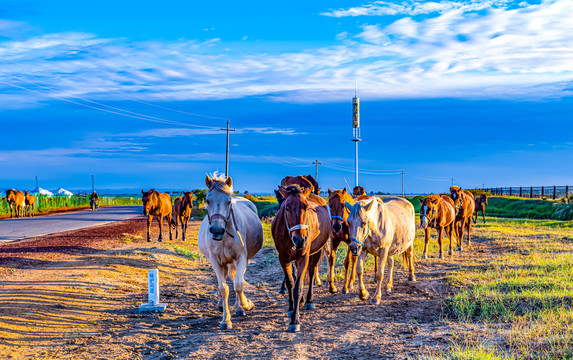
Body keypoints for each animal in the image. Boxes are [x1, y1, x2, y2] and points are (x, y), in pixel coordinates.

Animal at [197, 173, 264, 330]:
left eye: (228, 202)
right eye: (207, 201)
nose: (216, 230)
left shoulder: (241, 258)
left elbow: (238, 284)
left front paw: (246, 304)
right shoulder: (216, 261)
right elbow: (223, 288)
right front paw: (225, 320)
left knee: (235, 279)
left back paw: (239, 308)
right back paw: (222, 305)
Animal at [272, 186, 330, 332]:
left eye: (307, 207)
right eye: (287, 208)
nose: (300, 239)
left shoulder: (303, 257)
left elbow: (298, 287)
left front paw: (295, 320)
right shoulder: (284, 258)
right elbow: (290, 283)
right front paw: (291, 308)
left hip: (316, 252)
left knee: (311, 272)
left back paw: (308, 300)